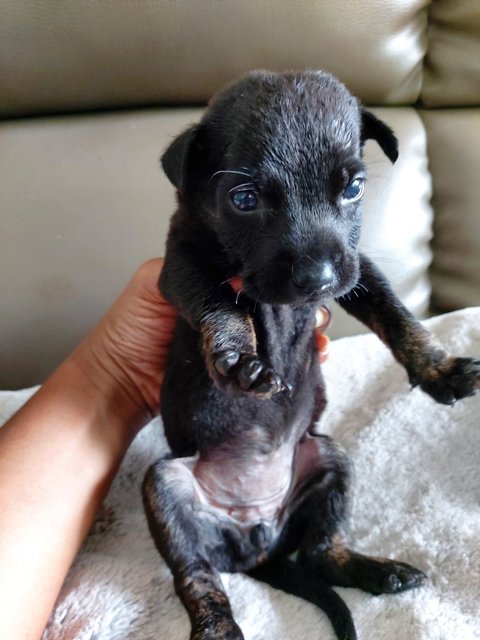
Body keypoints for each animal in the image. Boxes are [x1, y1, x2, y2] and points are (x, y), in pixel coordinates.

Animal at [142, 71, 480, 640]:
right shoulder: (182, 263)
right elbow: (218, 302)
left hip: (329, 459)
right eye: (244, 198)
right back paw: (216, 626)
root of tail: (256, 540)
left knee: (322, 553)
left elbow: (394, 313)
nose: (317, 278)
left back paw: (379, 571)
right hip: (166, 488)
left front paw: (439, 369)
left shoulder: (357, 269)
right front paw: (239, 356)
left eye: (353, 188)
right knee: (196, 576)